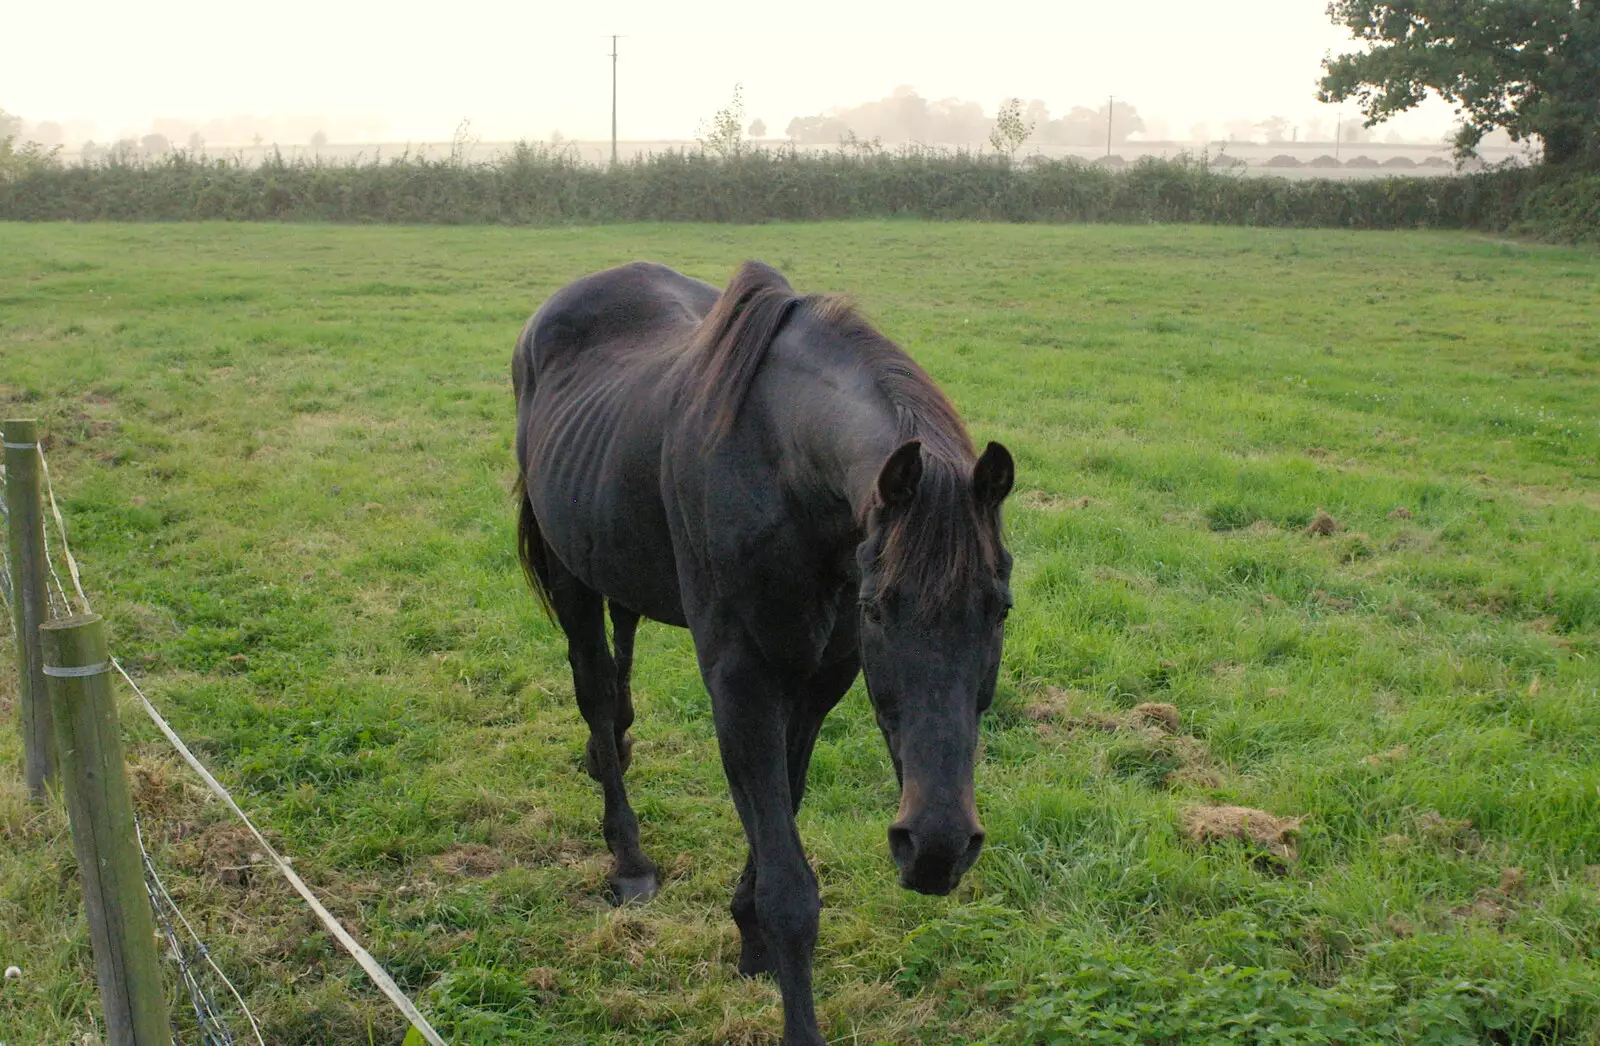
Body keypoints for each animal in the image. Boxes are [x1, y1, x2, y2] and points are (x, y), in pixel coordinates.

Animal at [512, 262, 1011, 1046]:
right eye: (878, 608)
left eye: (1000, 609)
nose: (936, 848)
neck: (784, 474)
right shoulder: (741, 681)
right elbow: (790, 889)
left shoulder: (817, 682)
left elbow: (785, 801)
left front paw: (748, 936)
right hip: (570, 577)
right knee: (592, 687)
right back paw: (628, 856)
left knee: (621, 653)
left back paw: (612, 749)